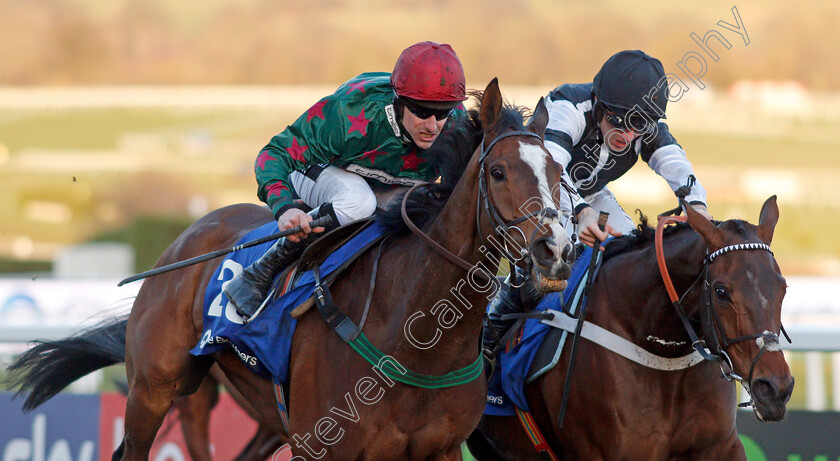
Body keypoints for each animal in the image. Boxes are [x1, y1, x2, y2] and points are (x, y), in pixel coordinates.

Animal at [4, 79, 576, 460]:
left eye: (560, 173)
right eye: (498, 171)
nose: (555, 249)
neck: (416, 336)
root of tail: (186, 237)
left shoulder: (438, 450)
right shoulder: (323, 444)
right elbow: (282, 147)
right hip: (154, 388)